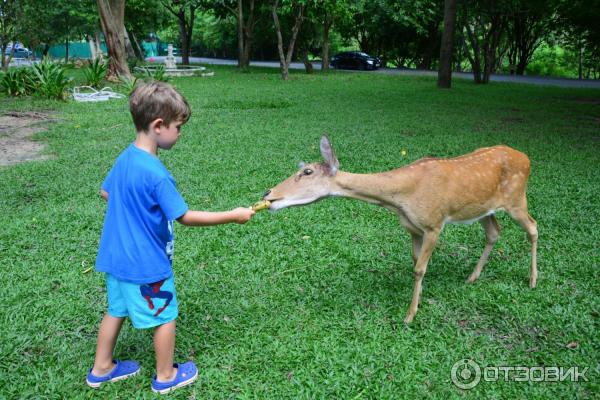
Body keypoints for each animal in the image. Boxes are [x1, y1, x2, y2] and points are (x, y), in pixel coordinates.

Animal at [262, 136, 540, 324]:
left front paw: (410, 314)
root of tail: (527, 158)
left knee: (533, 227)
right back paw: (472, 277)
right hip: (483, 209)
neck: (399, 198)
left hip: (516, 198)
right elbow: (416, 261)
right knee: (494, 232)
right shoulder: (413, 229)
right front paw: (421, 296)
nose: (268, 194)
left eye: (307, 171)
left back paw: (533, 280)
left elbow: (420, 268)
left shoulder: (434, 223)